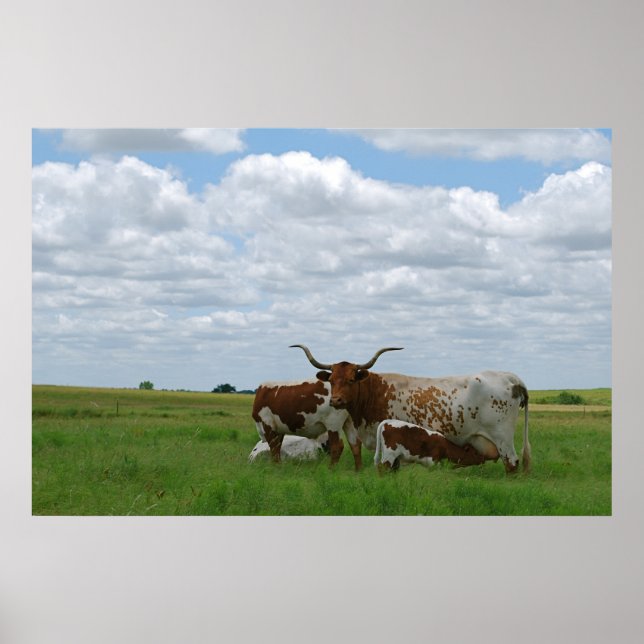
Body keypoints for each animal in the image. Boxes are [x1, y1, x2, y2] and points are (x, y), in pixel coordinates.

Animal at [290, 344, 531, 473]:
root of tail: (509, 377)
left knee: (511, 463)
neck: (374, 392)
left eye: (351, 379)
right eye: (332, 380)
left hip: (502, 437)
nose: (336, 401)